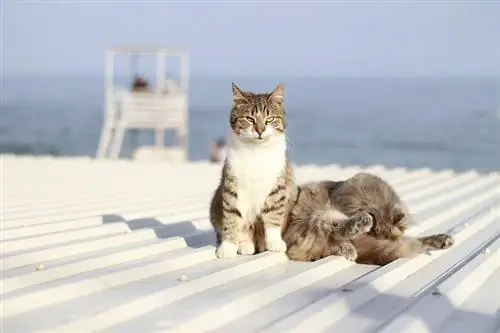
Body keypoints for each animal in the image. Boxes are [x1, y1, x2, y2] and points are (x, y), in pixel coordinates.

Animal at [210, 81, 296, 258]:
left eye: (270, 119)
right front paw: (228, 247)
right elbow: (232, 218)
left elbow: (273, 216)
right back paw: (245, 245)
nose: (260, 130)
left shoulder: (278, 187)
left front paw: (275, 243)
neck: (257, 152)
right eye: (249, 118)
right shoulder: (232, 187)